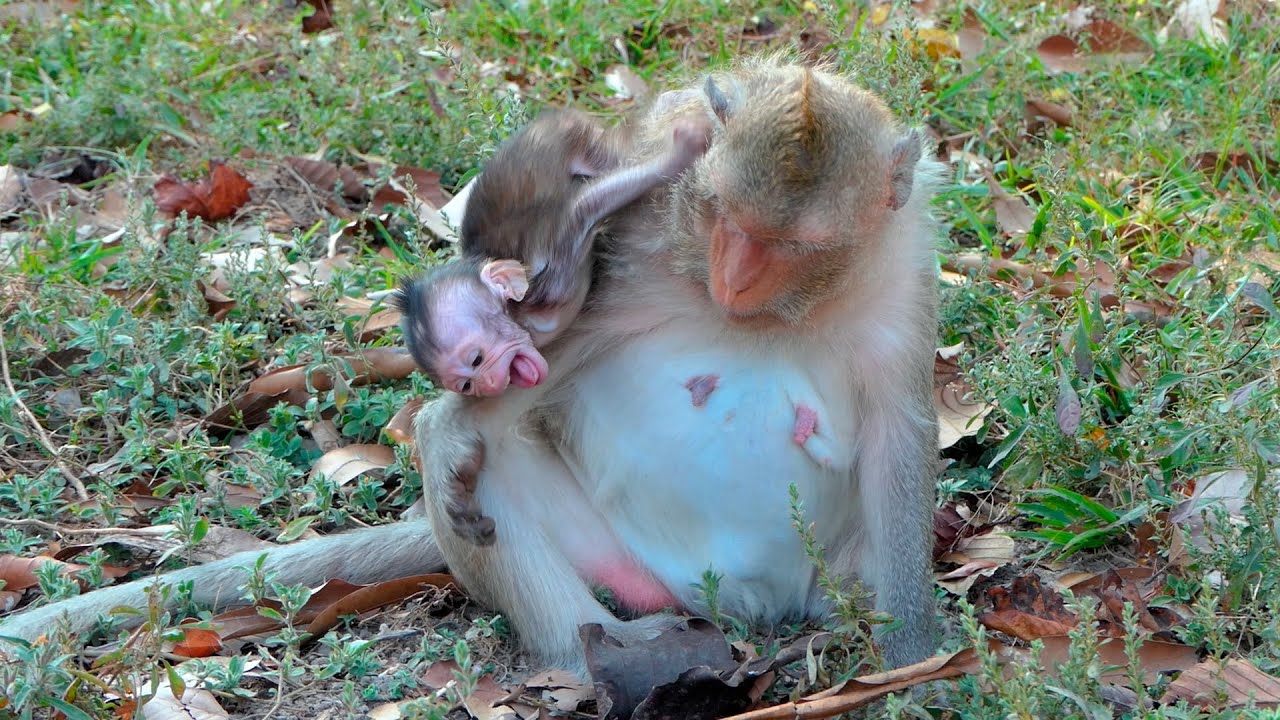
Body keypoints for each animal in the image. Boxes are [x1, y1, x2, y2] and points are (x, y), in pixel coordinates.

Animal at [0, 57, 942, 681]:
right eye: (722, 217)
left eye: (796, 247)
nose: (733, 279)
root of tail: (743, 603)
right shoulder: (632, 248)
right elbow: (511, 399)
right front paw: (452, 426)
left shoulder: (902, 266)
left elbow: (900, 432)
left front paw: (913, 656)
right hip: (613, 555)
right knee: (493, 479)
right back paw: (600, 650)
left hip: (834, 571)